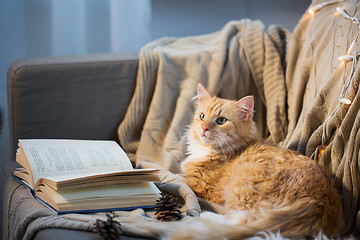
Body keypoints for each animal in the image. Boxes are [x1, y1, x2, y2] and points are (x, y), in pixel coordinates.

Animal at [170, 83, 342, 239]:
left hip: (243, 183)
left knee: (240, 221)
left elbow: (177, 177)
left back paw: (206, 216)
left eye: (221, 121)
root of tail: (318, 200)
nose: (204, 128)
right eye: (202, 116)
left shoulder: (199, 185)